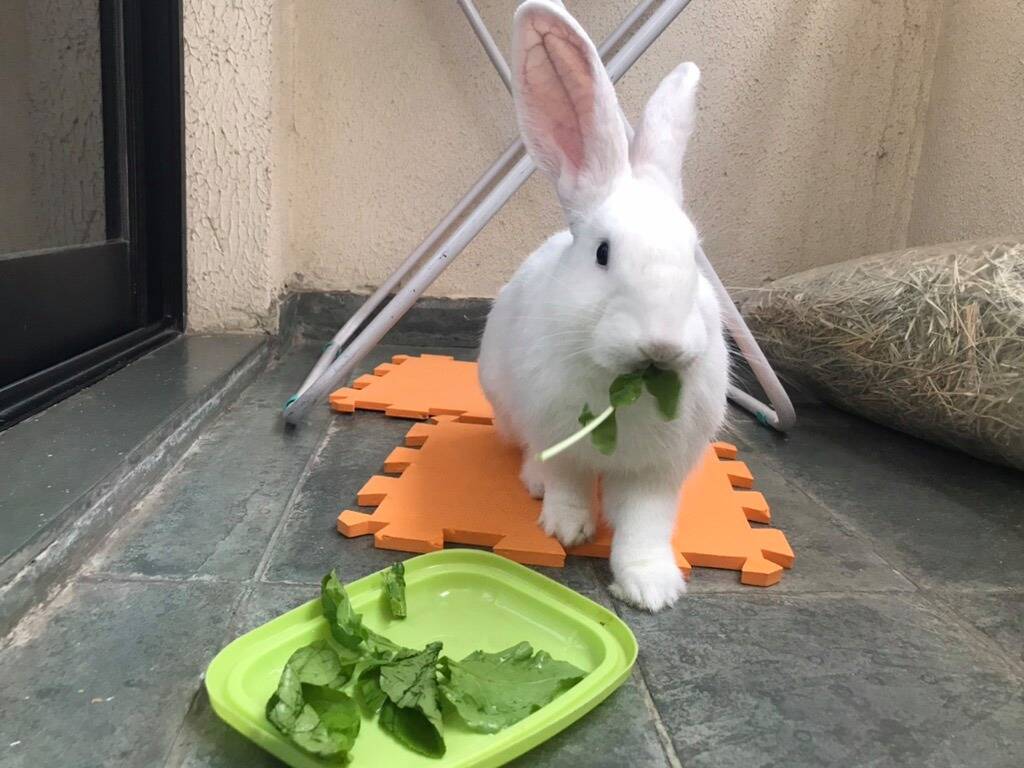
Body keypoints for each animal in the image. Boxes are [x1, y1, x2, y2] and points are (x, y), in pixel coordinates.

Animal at [479, 0, 729, 614]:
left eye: (695, 254)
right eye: (602, 252)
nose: (662, 344)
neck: (626, 391)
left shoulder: (659, 473)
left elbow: (644, 526)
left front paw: (652, 588)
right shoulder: (561, 440)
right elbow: (568, 484)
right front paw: (567, 531)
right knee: (528, 452)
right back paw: (533, 482)